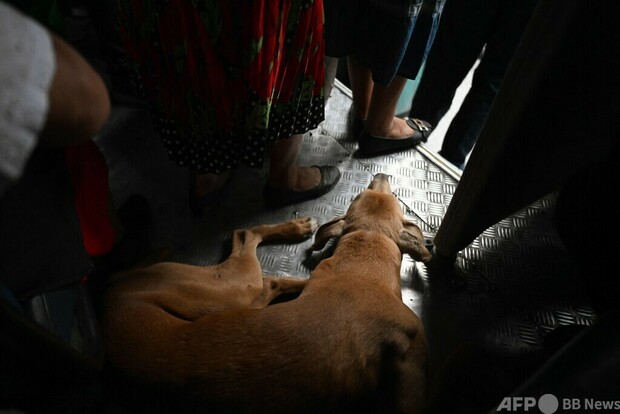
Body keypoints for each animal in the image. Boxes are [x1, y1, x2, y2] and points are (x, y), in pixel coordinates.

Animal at [101, 173, 432, 412]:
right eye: (364, 195)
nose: (381, 174)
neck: (365, 251)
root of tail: (107, 295)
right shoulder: (414, 352)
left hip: (236, 298)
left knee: (268, 279)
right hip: (231, 289)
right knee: (246, 235)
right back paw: (296, 228)